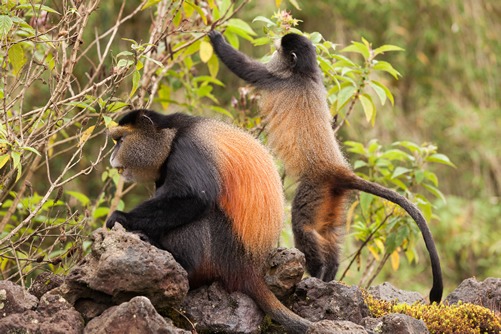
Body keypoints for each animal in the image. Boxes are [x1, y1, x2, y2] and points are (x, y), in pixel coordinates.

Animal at [209, 30, 444, 302]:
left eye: (278, 51)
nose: (274, 52)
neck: (305, 74)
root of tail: (336, 169)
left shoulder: (275, 78)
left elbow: (244, 67)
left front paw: (216, 39)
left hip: (315, 188)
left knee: (304, 226)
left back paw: (318, 270)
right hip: (333, 196)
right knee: (329, 232)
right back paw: (329, 271)